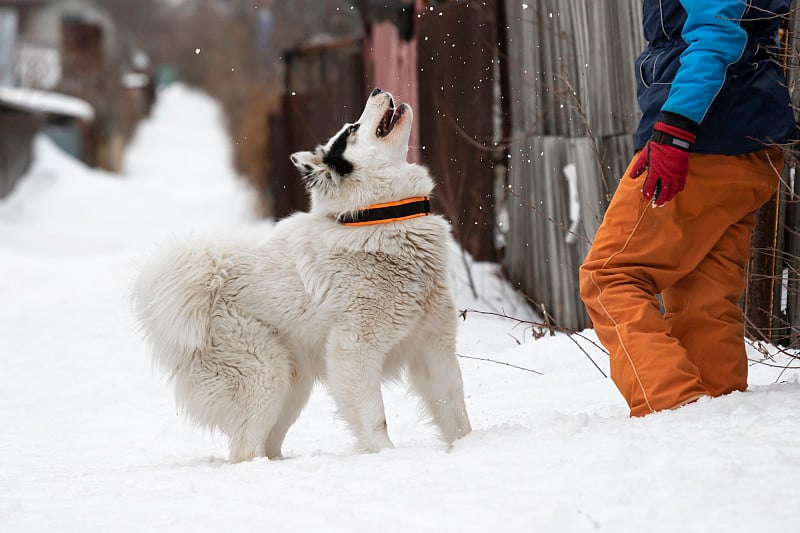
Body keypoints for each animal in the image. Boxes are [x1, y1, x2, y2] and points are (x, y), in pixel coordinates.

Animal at [130, 88, 468, 462]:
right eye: (351, 129)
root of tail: (206, 279)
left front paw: (469, 447)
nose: (377, 91)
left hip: (292, 384)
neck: (379, 217)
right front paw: (386, 455)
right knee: (245, 449)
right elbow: (373, 417)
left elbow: (455, 411)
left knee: (267, 443)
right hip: (266, 375)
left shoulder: (433, 347)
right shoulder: (354, 352)